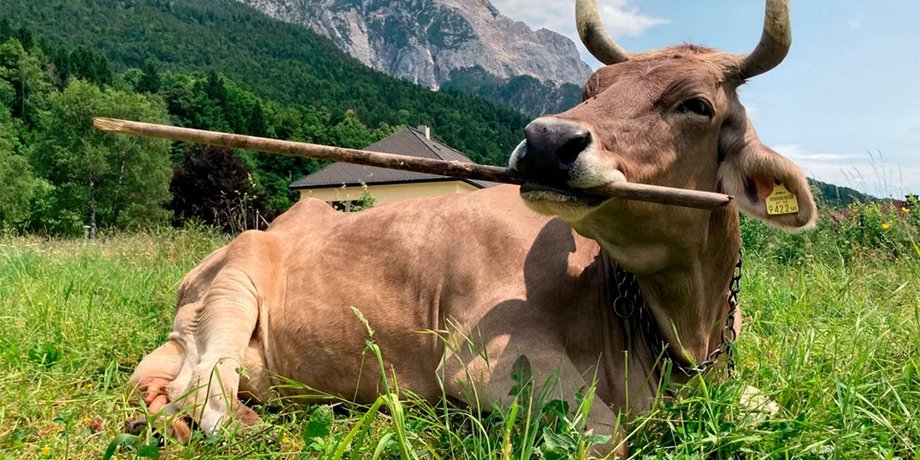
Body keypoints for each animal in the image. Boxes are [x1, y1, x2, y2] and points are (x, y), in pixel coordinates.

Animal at [127, 0, 816, 456]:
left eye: (696, 105)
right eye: (592, 85)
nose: (547, 140)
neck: (680, 332)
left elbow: (776, 405)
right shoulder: (486, 363)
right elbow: (607, 437)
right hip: (234, 286)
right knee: (204, 396)